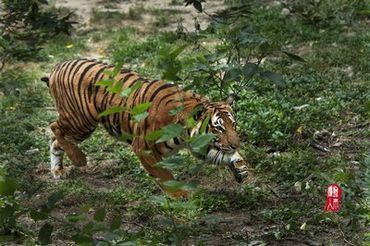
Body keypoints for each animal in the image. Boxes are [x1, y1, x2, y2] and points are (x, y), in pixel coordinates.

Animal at [40, 58, 250, 197]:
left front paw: (241, 167)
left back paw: (58, 171)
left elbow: (222, 156)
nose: (236, 144)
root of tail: (57, 66)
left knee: (55, 140)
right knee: (54, 128)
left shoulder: (199, 145)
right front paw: (180, 195)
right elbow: (164, 175)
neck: (185, 131)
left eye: (233, 125)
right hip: (82, 120)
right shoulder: (144, 148)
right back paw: (79, 159)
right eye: (218, 129)